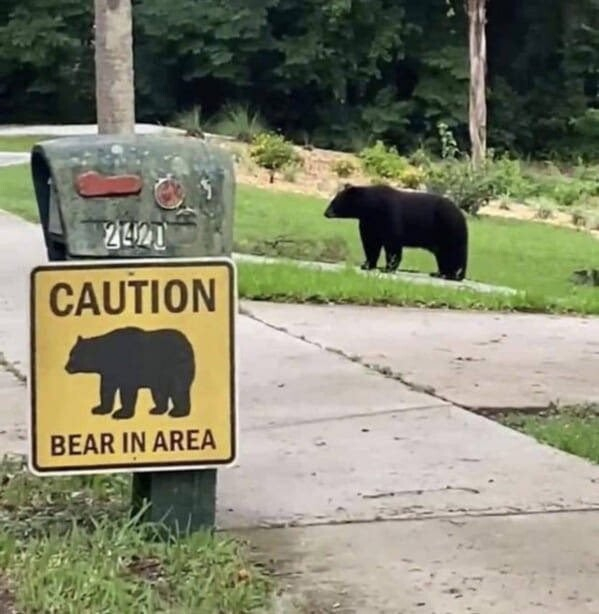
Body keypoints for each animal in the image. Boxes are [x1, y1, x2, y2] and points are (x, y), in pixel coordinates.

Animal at [65, 328, 197, 424]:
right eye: (70, 354)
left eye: (74, 355)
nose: (66, 367)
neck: (107, 355)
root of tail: (187, 342)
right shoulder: (108, 373)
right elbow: (106, 390)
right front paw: (99, 409)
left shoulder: (127, 368)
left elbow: (127, 391)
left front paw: (121, 413)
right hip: (160, 378)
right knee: (159, 393)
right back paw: (157, 410)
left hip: (177, 367)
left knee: (178, 390)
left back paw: (178, 412)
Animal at [324, 182, 468, 280]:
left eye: (334, 202)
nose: (326, 213)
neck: (370, 207)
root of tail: (461, 214)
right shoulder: (369, 223)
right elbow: (371, 243)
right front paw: (367, 265)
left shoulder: (388, 215)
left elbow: (392, 243)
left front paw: (388, 268)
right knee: (443, 256)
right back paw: (439, 273)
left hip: (449, 228)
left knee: (454, 253)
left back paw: (453, 275)